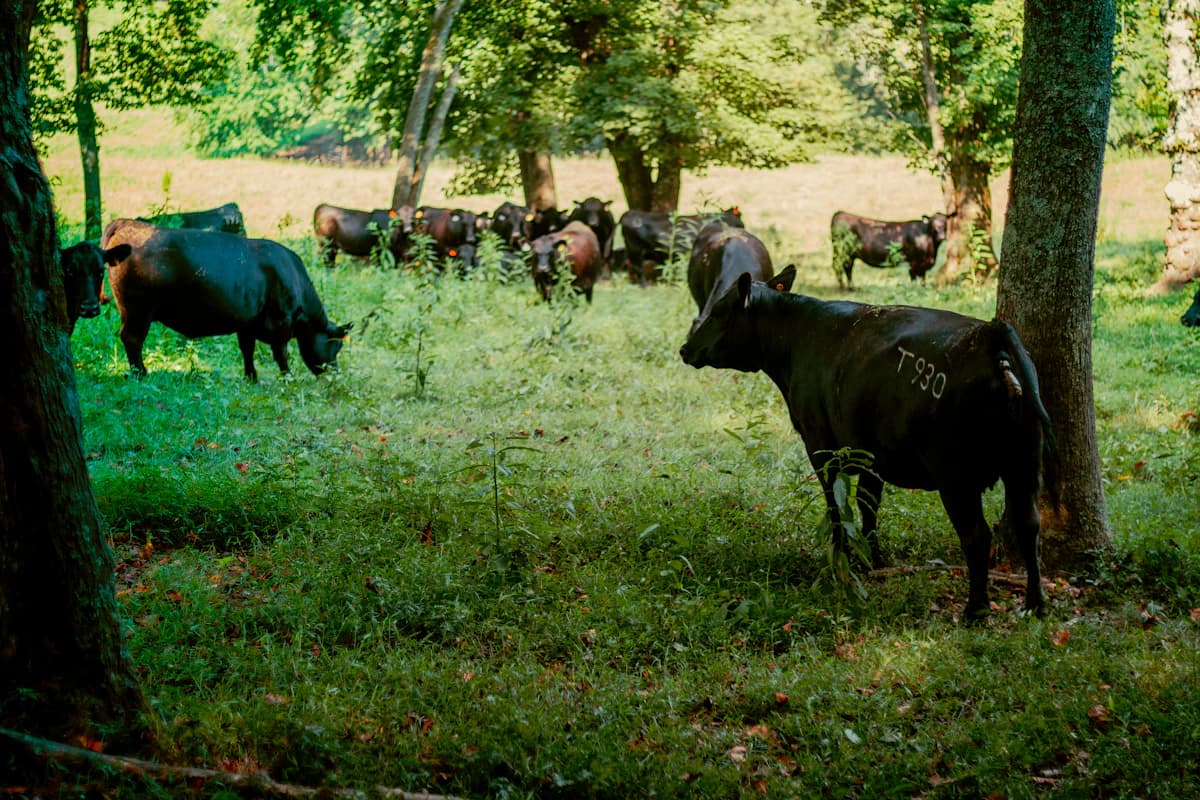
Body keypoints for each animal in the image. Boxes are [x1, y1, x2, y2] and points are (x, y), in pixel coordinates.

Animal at [101, 219, 351, 380]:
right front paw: (287, 378)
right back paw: (140, 374)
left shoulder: (247, 323)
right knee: (132, 339)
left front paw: (251, 377)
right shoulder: (281, 322)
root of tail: (127, 223)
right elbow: (281, 354)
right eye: (336, 345)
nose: (335, 374)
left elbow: (247, 350)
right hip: (137, 311)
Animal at [679, 265, 1057, 621]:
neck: (799, 338)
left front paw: (842, 557)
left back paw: (975, 610)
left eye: (718, 311)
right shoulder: (872, 453)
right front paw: (873, 559)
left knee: (977, 536)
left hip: (955, 475)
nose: (685, 348)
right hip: (1024, 463)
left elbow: (835, 505)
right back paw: (1035, 604)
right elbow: (868, 504)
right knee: (1029, 524)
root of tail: (990, 333)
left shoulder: (820, 446)